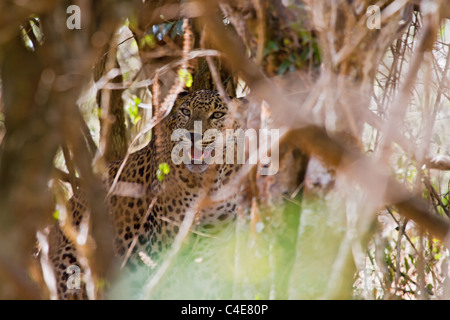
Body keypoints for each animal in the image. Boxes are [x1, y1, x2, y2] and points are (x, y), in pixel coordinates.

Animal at [48, 90, 250, 300]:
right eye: (186, 111)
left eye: (218, 115)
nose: (193, 135)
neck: (211, 183)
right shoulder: (167, 249)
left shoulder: (215, 247)